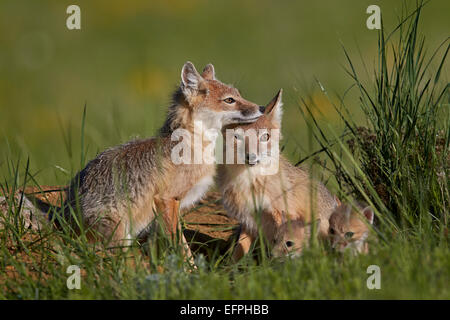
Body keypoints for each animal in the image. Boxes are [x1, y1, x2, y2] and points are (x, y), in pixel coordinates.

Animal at [216, 90, 340, 260]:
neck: (249, 182)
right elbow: (238, 251)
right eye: (237, 137)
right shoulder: (248, 220)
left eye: (265, 137)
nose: (251, 157)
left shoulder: (282, 213)